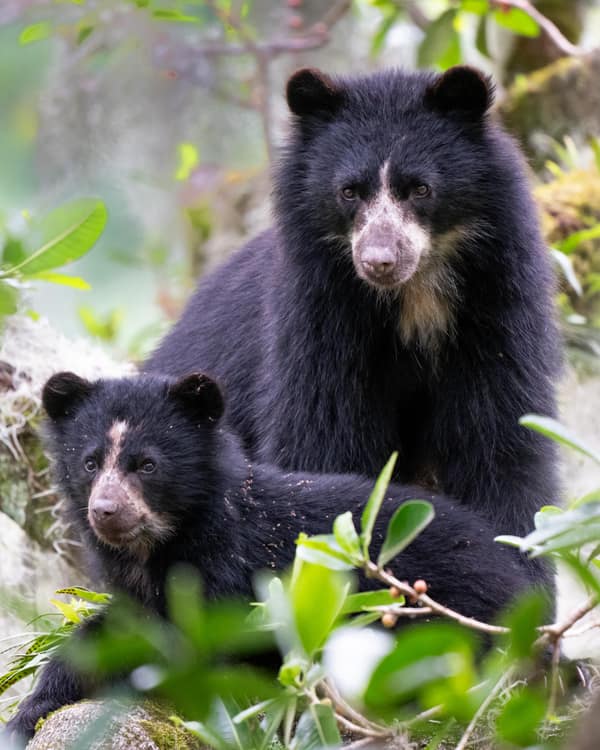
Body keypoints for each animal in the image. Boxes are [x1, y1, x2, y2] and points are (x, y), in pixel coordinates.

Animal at [6, 370, 534, 741]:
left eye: (148, 464)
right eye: (90, 463)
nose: (106, 512)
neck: (164, 543)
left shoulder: (237, 573)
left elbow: (189, 646)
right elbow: (119, 629)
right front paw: (29, 709)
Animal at [143, 65, 561, 587]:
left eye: (420, 189)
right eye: (348, 191)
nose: (380, 260)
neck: (414, 298)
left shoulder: (497, 310)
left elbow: (499, 441)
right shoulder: (319, 319)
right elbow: (323, 443)